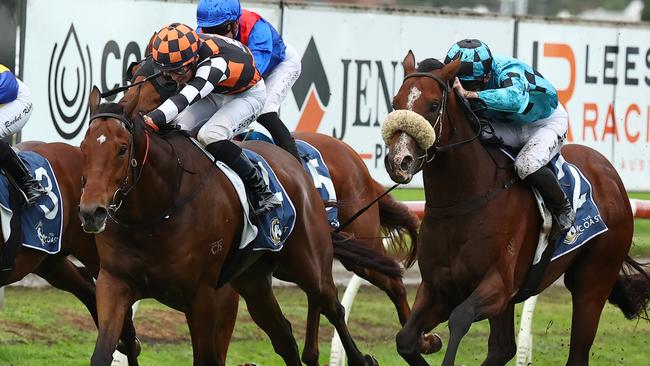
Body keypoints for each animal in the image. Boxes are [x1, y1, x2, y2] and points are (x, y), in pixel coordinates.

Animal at [74, 86, 394, 366]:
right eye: (83, 148)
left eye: (122, 149)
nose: (91, 212)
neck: (155, 212)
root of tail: (294, 162)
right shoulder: (115, 282)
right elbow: (102, 353)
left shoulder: (203, 295)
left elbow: (207, 359)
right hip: (253, 281)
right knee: (284, 337)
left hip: (309, 264)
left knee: (333, 306)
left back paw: (363, 359)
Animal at [119, 59, 440, 354]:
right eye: (134, 78)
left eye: (166, 83)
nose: (126, 109)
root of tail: (354, 158)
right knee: (318, 297)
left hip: (356, 243)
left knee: (390, 282)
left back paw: (423, 341)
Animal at [382, 52, 644, 366]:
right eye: (395, 102)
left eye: (433, 105)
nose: (399, 161)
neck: (464, 200)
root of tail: (611, 176)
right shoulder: (438, 288)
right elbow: (405, 340)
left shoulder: (497, 285)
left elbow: (460, 319)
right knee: (503, 347)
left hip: (593, 282)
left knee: (577, 349)